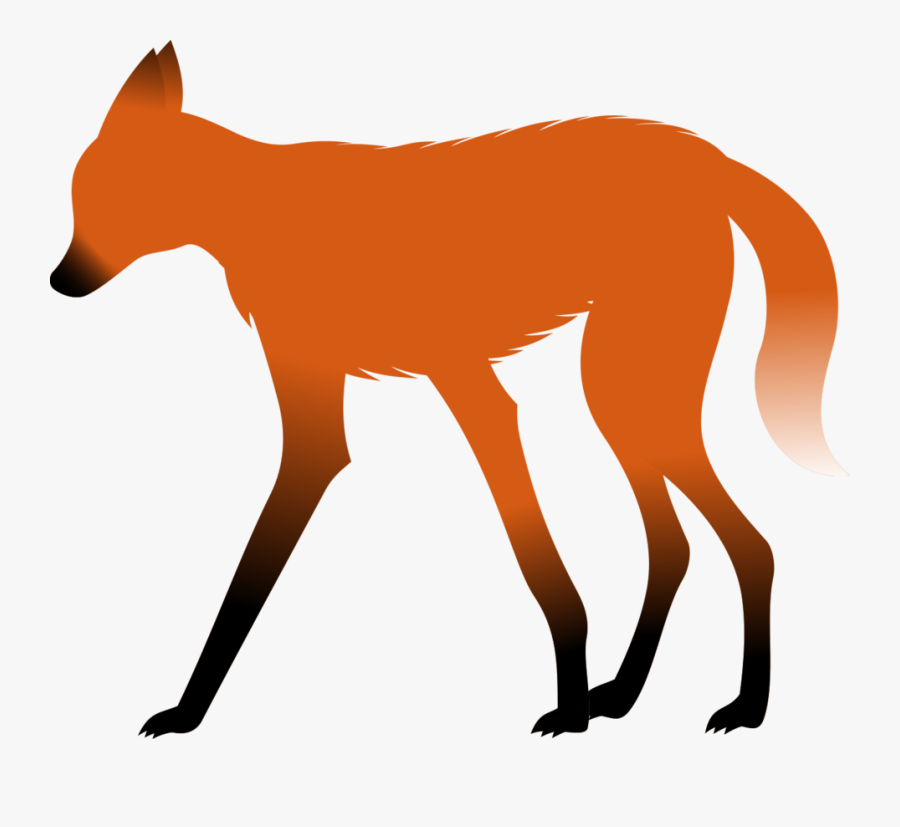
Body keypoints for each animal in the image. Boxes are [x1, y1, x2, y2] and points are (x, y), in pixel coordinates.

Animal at [50, 43, 844, 738]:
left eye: (109, 197)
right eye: (79, 198)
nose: (60, 279)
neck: (259, 211)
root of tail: (711, 156)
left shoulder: (465, 397)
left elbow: (539, 569)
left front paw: (569, 709)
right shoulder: (337, 422)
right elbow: (249, 577)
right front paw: (189, 712)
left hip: (629, 399)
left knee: (753, 546)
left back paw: (745, 706)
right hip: (620, 405)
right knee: (676, 548)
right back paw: (621, 695)